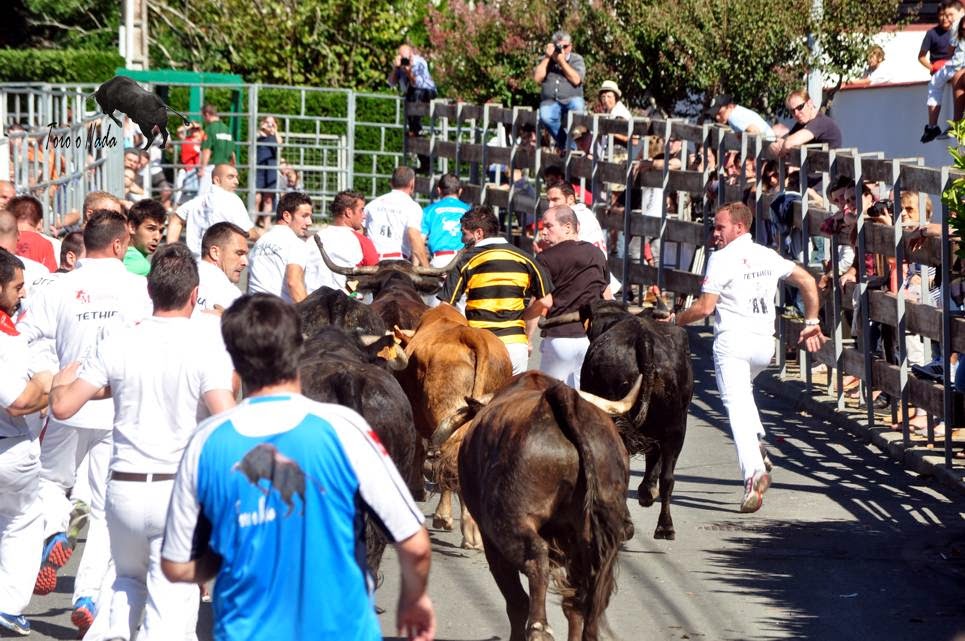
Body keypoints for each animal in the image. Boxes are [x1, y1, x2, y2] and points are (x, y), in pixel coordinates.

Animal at [454, 371, 637, 641]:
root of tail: (560, 396)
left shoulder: (490, 542)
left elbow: (516, 602)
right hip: (598, 537)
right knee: (589, 601)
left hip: (508, 524)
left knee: (535, 561)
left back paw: (539, 628)